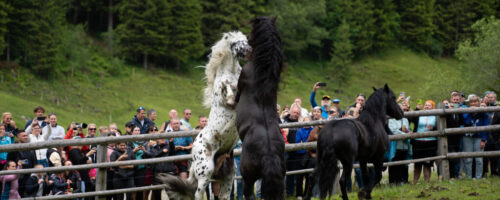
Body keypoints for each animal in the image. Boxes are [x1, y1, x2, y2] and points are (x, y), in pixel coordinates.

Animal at [156, 31, 250, 200]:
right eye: (236, 43)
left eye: (245, 40)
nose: (249, 50)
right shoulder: (228, 101)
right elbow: (228, 93)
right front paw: (226, 88)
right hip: (205, 171)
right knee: (197, 194)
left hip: (228, 174)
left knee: (223, 196)